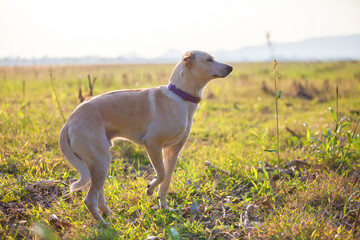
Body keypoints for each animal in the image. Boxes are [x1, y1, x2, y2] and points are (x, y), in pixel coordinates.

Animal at [58, 50, 233, 225]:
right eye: (209, 60)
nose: (230, 67)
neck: (181, 97)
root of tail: (70, 121)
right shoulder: (152, 144)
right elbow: (161, 174)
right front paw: (150, 189)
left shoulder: (172, 152)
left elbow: (166, 183)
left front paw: (164, 208)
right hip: (101, 161)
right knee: (90, 200)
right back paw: (105, 225)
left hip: (101, 164)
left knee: (99, 197)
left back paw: (111, 216)